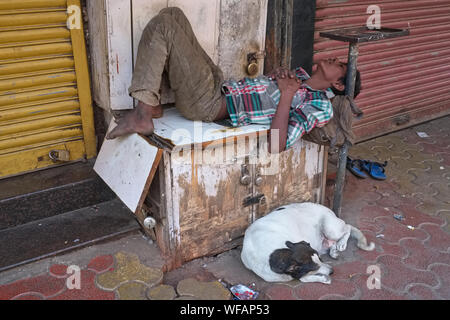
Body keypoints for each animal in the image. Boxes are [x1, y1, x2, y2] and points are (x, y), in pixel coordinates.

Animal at [241, 201, 374, 284]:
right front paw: (321, 278)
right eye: (313, 267)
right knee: (334, 241)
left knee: (348, 227)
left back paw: (341, 243)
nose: (332, 271)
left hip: (331, 229)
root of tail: (331, 211)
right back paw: (334, 250)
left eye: (320, 258)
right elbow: (303, 278)